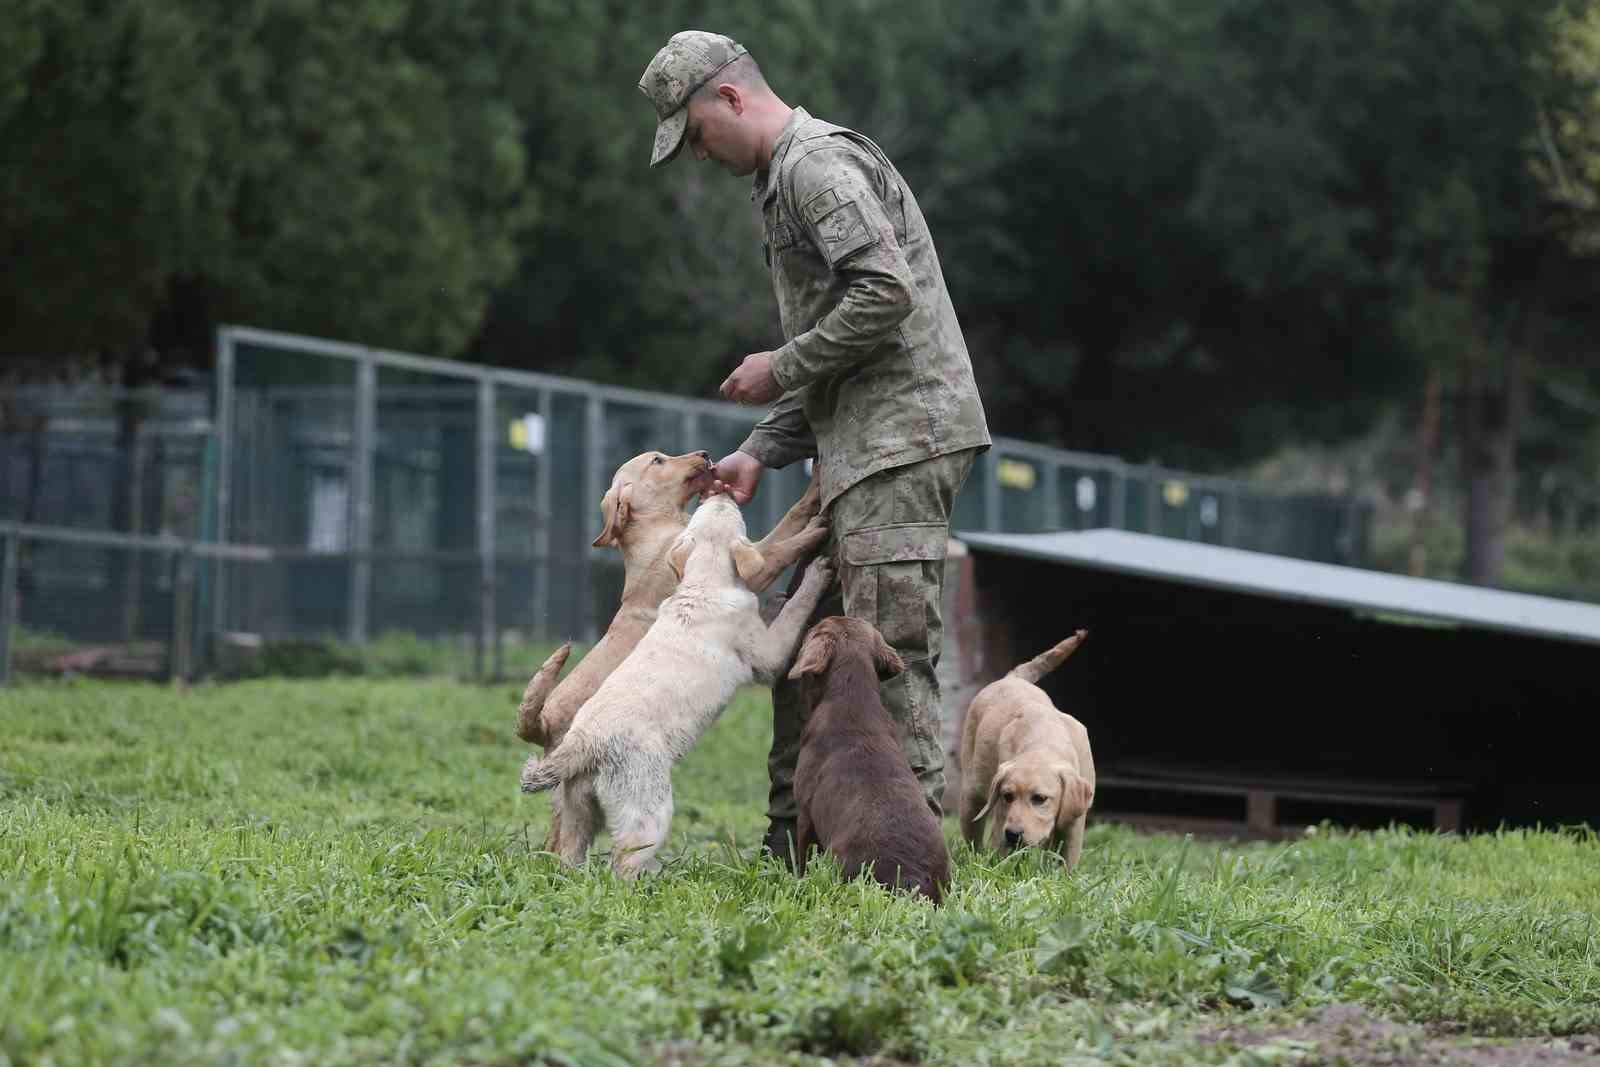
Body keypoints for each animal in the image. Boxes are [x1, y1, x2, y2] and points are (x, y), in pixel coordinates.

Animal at [787, 617, 947, 902]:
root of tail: (910, 878)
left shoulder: (805, 813)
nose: (806, 626)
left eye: (813, 629)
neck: (853, 696)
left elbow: (803, 855)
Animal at [953, 633, 1094, 870]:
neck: (1044, 740)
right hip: (972, 796)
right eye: (1007, 796)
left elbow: (1067, 859)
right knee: (974, 837)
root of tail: (1012, 678)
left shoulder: (1074, 824)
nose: (1013, 834)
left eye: (1040, 798)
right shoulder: (1001, 817)